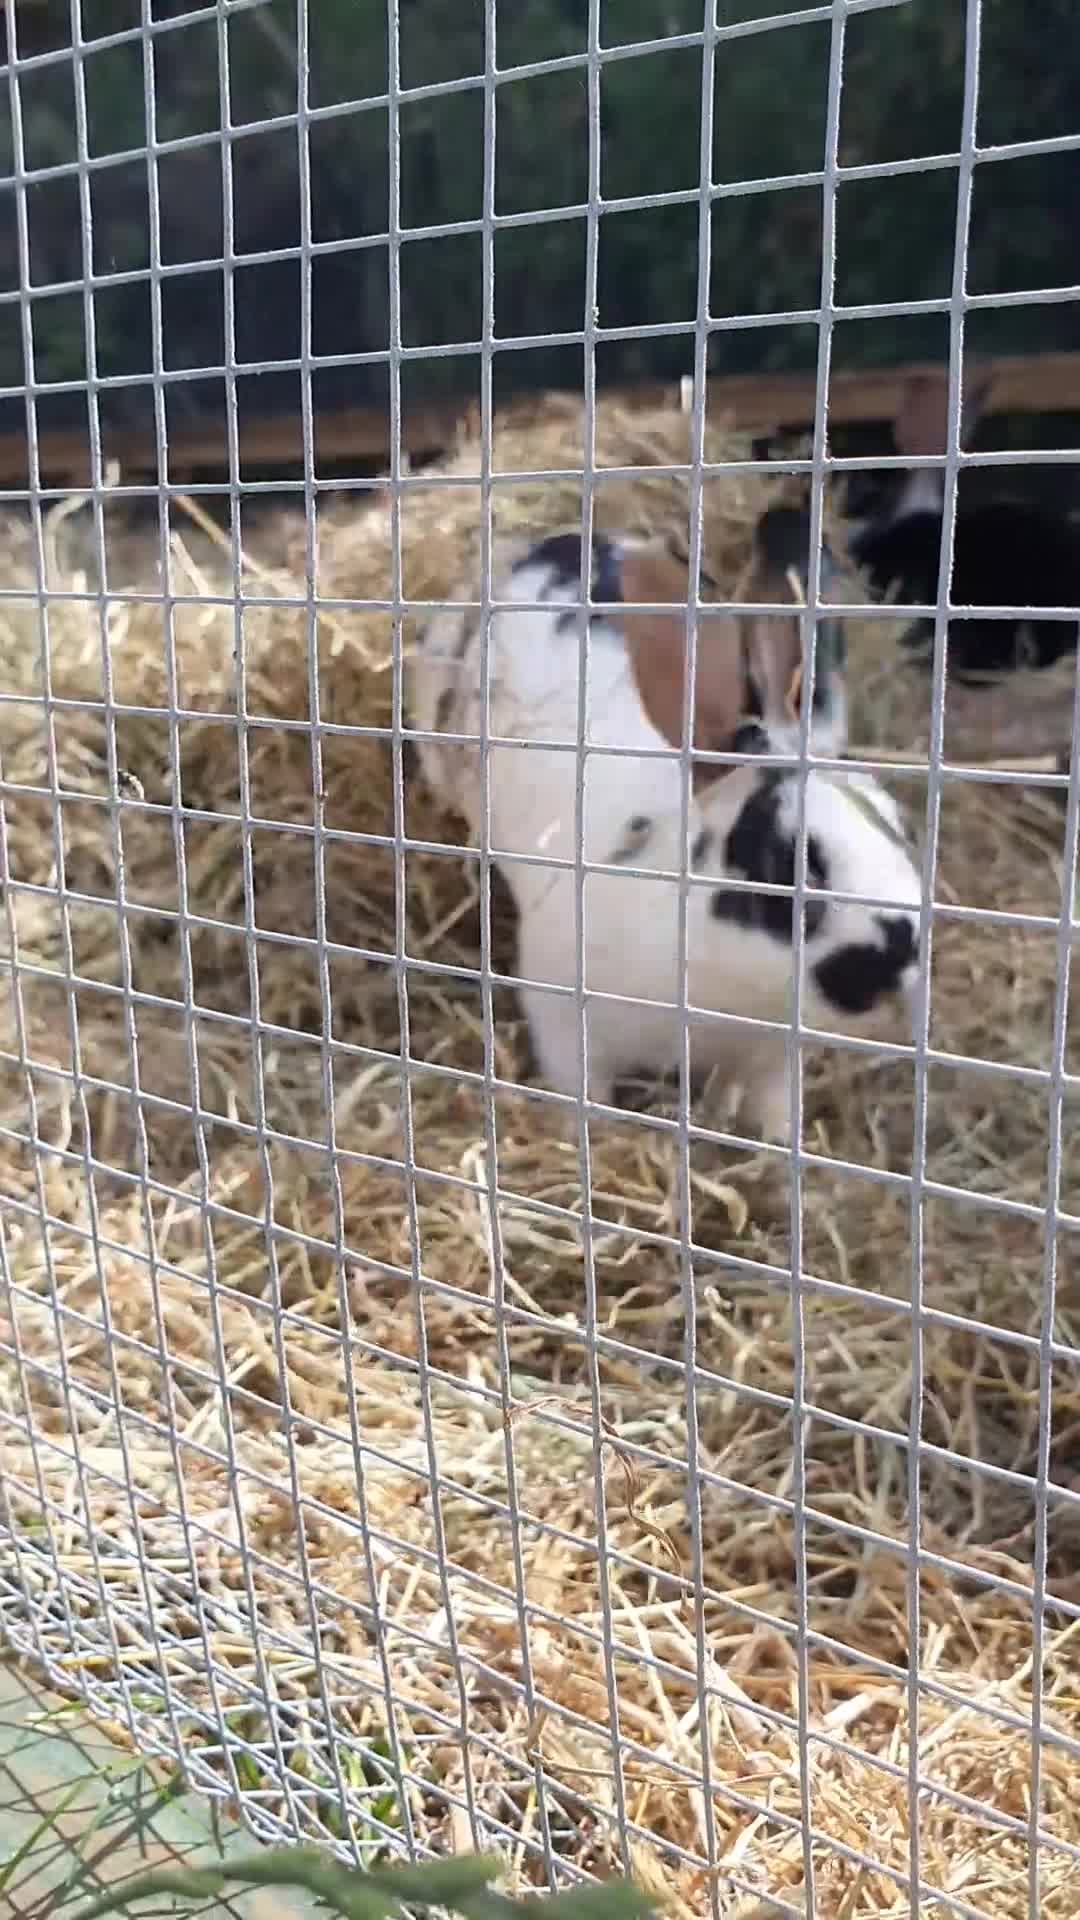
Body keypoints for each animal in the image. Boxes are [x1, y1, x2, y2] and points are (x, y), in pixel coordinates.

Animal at [411, 522, 920, 1142]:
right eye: (788, 866)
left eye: (901, 828)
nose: (896, 967)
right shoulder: (564, 1023)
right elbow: (584, 1096)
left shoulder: (771, 1061)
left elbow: (771, 1113)